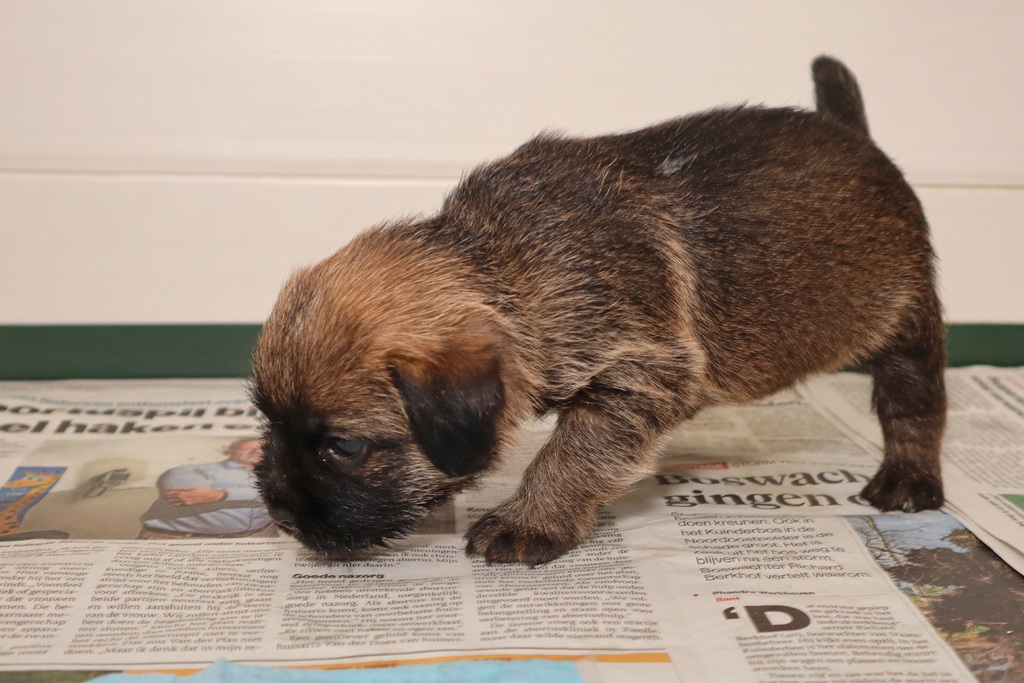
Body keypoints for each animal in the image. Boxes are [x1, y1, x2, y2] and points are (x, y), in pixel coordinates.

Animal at [250, 56, 946, 566]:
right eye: (266, 421)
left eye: (343, 446)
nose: (278, 513)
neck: (510, 266)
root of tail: (854, 136)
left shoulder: (639, 378)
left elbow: (571, 456)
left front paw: (529, 521)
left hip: (907, 319)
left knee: (915, 403)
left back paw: (909, 480)